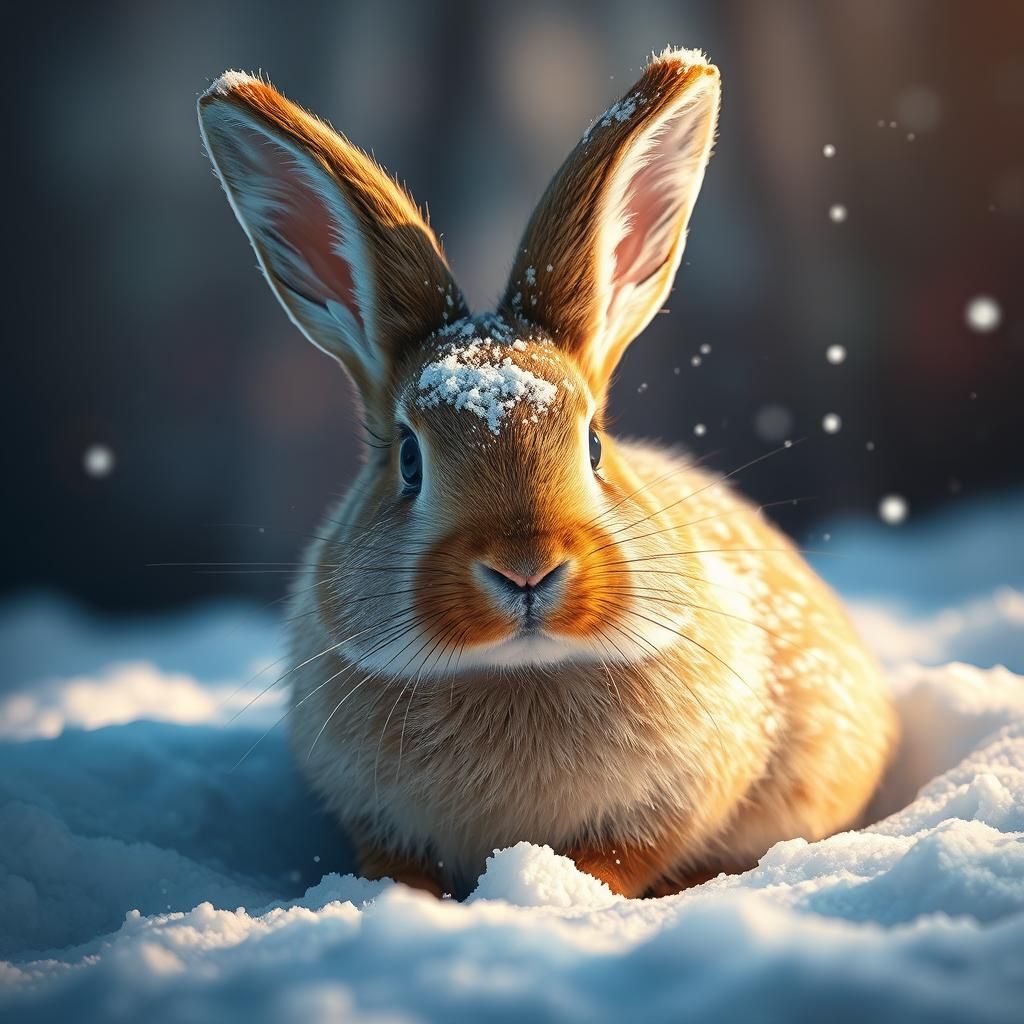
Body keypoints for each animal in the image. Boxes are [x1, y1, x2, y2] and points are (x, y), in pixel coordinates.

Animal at [198, 47, 897, 899]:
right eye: (409, 459)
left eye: (593, 444)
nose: (525, 567)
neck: (515, 670)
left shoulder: (678, 799)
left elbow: (624, 857)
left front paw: (562, 888)